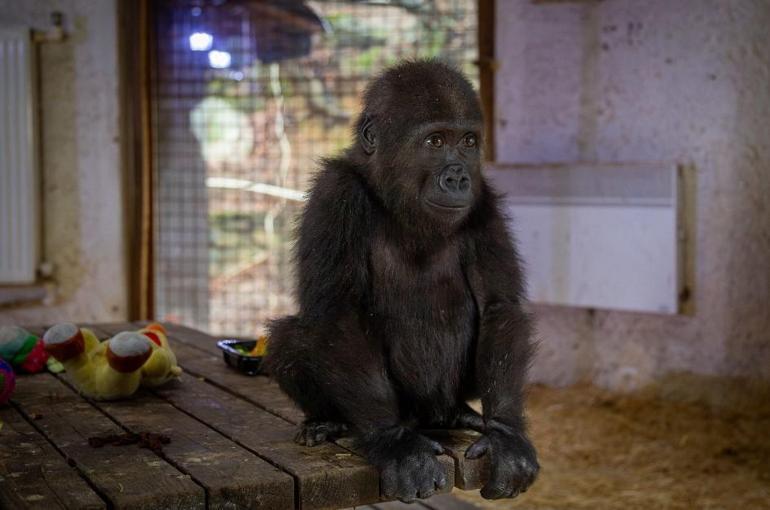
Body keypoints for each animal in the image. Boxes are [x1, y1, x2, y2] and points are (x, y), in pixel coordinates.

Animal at [268, 59, 536, 502]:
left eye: (467, 142)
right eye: (435, 141)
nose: (458, 178)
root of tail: (424, 415)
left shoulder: (484, 202)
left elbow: (499, 306)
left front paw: (506, 434)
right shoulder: (335, 195)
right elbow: (339, 314)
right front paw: (392, 443)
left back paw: (458, 413)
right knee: (289, 336)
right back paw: (330, 420)